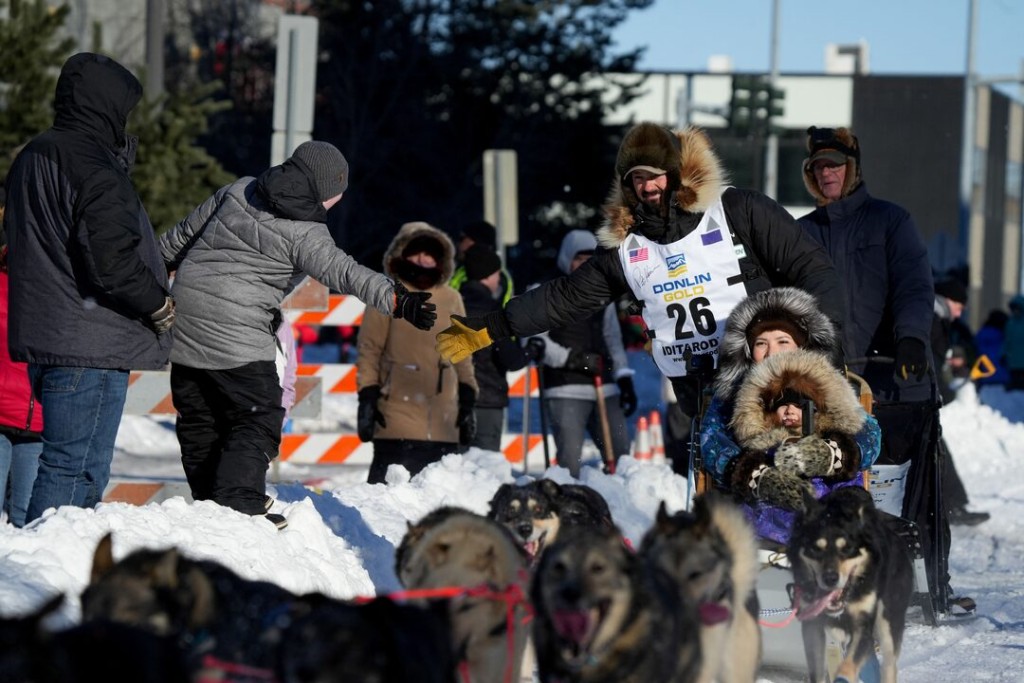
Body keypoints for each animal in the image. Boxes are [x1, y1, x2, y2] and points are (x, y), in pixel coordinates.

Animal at [786, 485, 917, 683]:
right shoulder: (812, 624)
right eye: (816, 549)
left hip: (888, 621)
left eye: (847, 548)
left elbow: (848, 666)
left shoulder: (863, 626)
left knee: (888, 664)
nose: (830, 578)